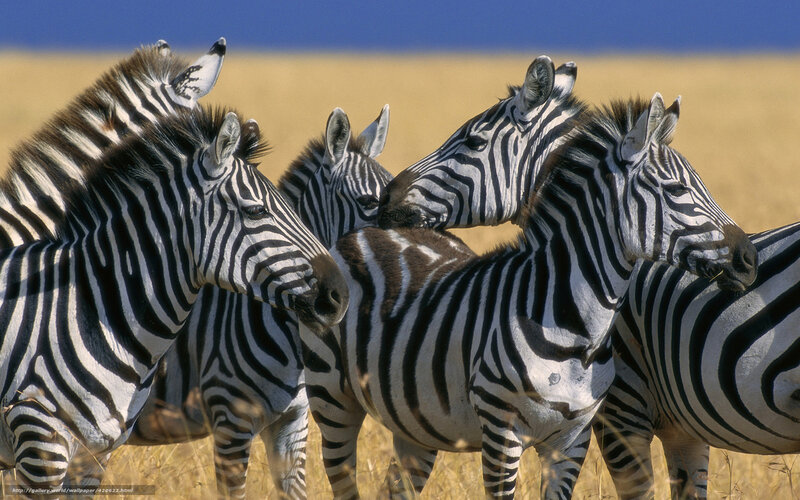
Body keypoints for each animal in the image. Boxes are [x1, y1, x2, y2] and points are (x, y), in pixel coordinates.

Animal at [304, 94, 758, 498]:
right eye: (676, 189)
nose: (749, 258)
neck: (577, 329)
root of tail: (362, 230)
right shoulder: (502, 433)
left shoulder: (572, 440)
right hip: (332, 399)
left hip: (414, 419)